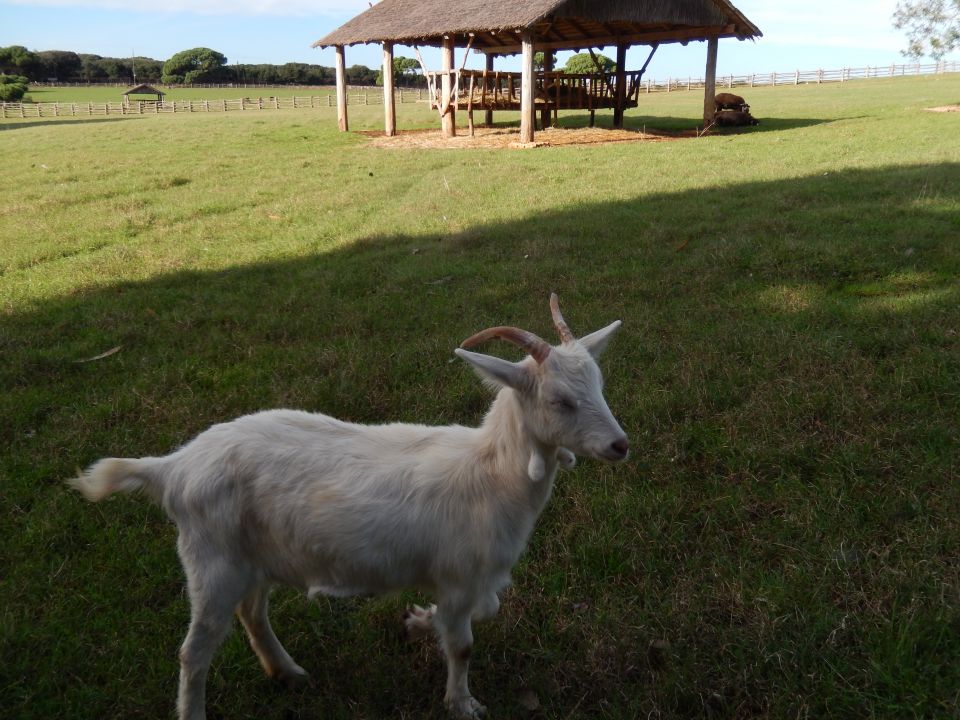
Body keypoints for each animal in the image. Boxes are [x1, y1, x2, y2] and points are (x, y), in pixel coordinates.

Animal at [71, 294, 632, 720]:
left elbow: (485, 610)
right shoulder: (458, 574)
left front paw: (418, 620)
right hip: (211, 560)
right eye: (560, 401)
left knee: (252, 612)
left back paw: (287, 672)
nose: (620, 445)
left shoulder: (474, 579)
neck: (491, 475)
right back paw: (197, 709)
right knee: (195, 650)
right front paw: (462, 702)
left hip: (252, 557)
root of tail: (174, 466)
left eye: (600, 385)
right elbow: (463, 645)